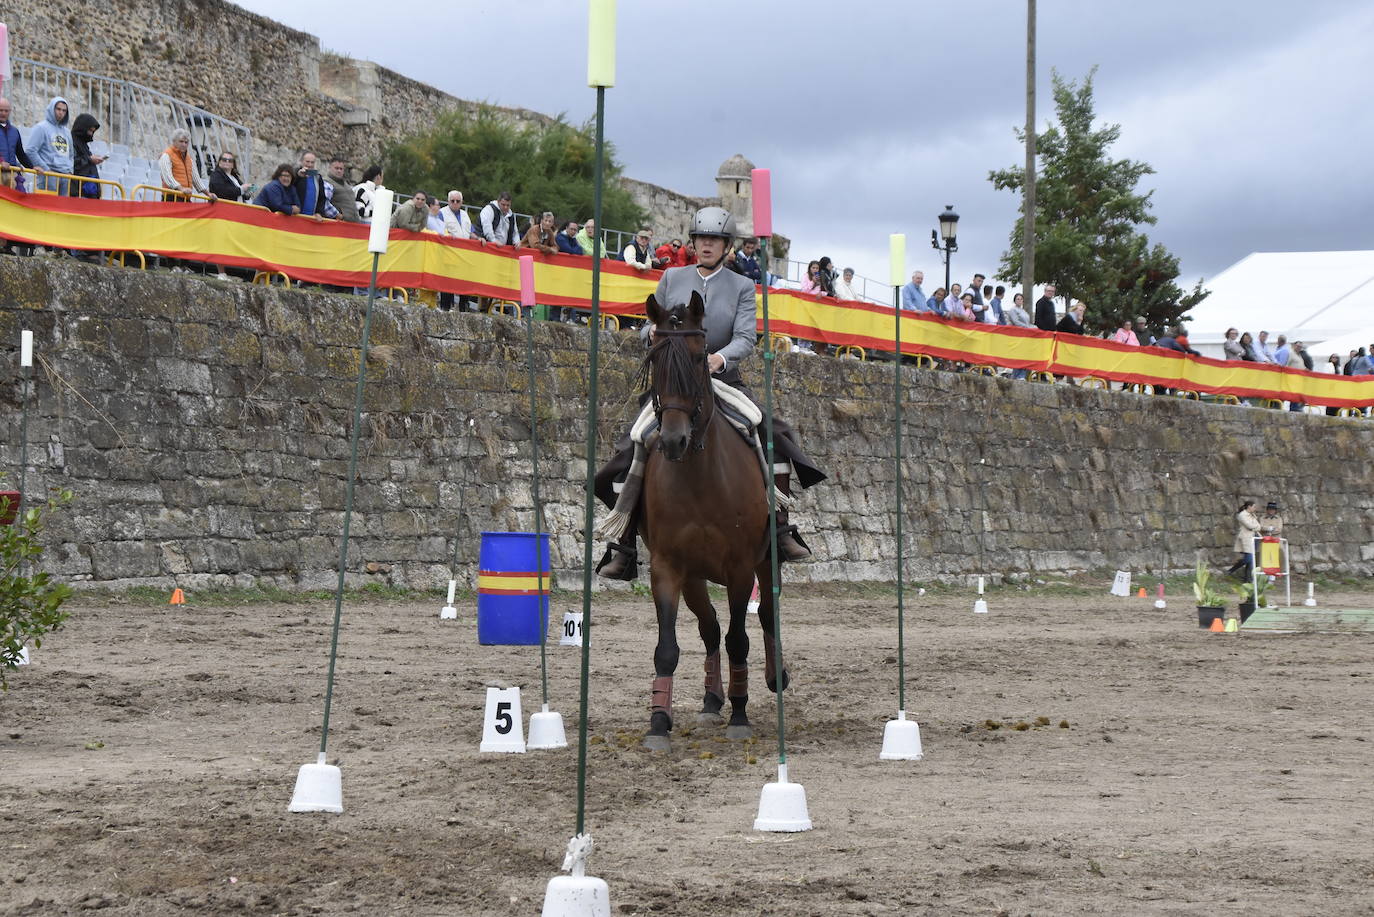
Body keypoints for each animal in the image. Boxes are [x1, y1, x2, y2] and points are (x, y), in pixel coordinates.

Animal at [629, 292, 785, 753]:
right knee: (710, 627)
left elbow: (740, 638)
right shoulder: (667, 567)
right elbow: (668, 647)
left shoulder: (740, 568)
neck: (699, 475)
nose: (673, 441)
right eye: (654, 357)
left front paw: (740, 714)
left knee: (764, 616)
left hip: (766, 562)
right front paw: (658, 723)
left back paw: (773, 678)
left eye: (700, 359)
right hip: (695, 577)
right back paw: (712, 699)